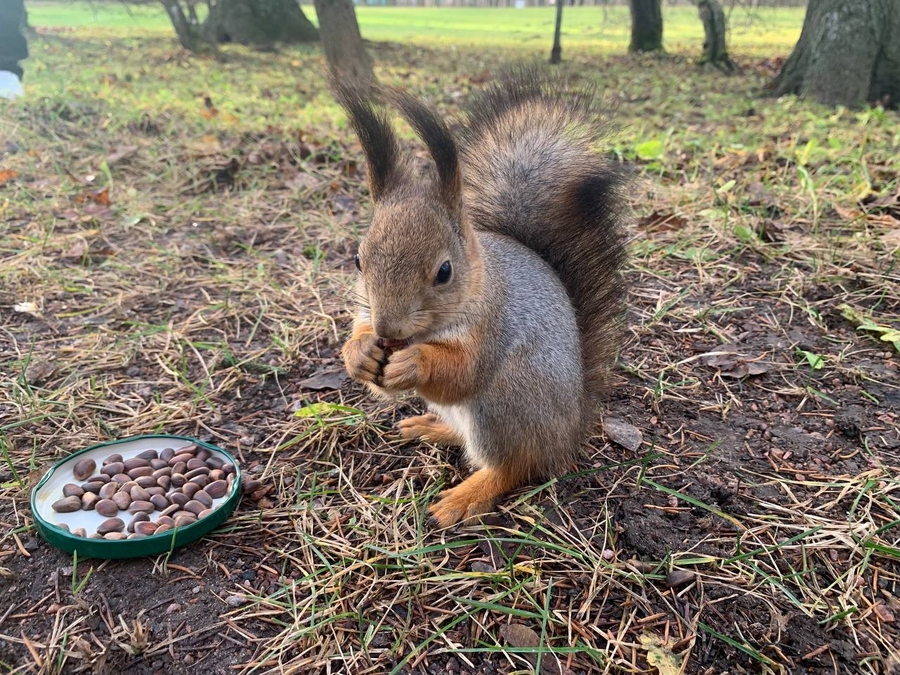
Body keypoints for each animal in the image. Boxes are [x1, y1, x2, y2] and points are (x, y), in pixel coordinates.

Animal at [336, 67, 624, 528]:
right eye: (358, 259)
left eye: (444, 271)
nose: (388, 328)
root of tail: (567, 435)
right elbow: (360, 336)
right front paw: (360, 352)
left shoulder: (492, 323)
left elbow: (463, 372)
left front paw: (414, 362)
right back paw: (429, 427)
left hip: (505, 403)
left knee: (514, 465)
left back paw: (464, 498)